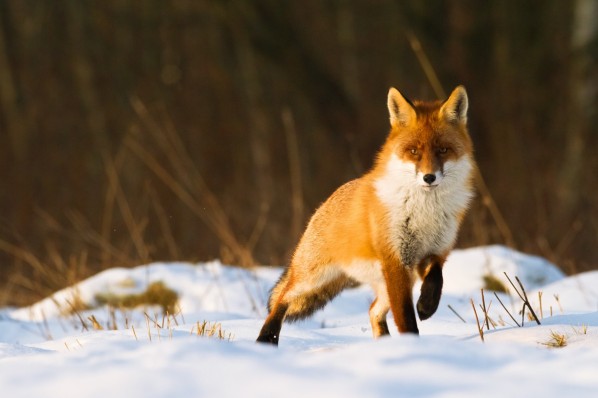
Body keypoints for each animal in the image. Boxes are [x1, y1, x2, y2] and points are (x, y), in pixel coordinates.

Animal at [258, 85, 478, 344]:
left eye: (443, 150)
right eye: (413, 151)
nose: (429, 177)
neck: (424, 213)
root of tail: (326, 201)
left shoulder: (433, 253)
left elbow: (437, 279)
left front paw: (426, 305)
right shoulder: (395, 261)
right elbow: (405, 317)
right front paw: (412, 344)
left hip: (388, 282)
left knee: (373, 310)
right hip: (312, 278)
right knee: (281, 300)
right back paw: (266, 339)